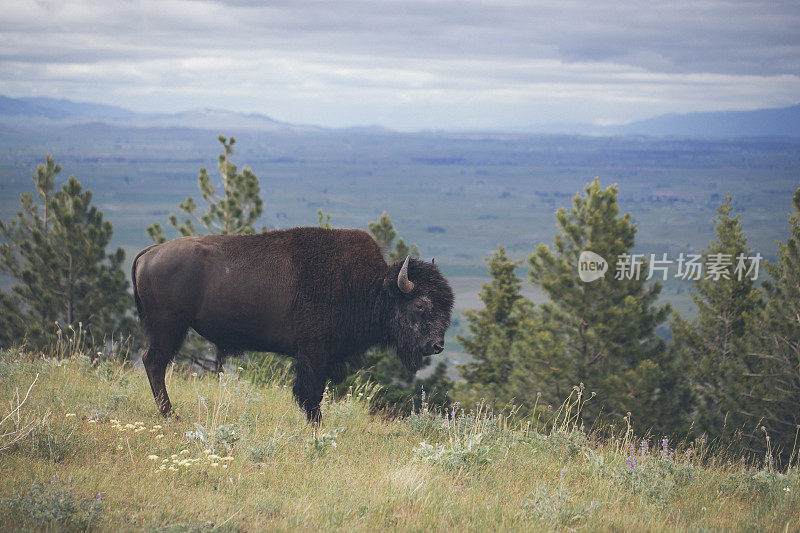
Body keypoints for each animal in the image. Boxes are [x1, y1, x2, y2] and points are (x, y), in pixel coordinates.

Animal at [133, 227, 456, 422]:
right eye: (421, 305)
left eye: (447, 306)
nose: (437, 345)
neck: (371, 287)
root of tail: (152, 250)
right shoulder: (313, 354)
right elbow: (311, 395)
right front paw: (316, 428)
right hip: (169, 328)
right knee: (154, 363)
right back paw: (170, 415)